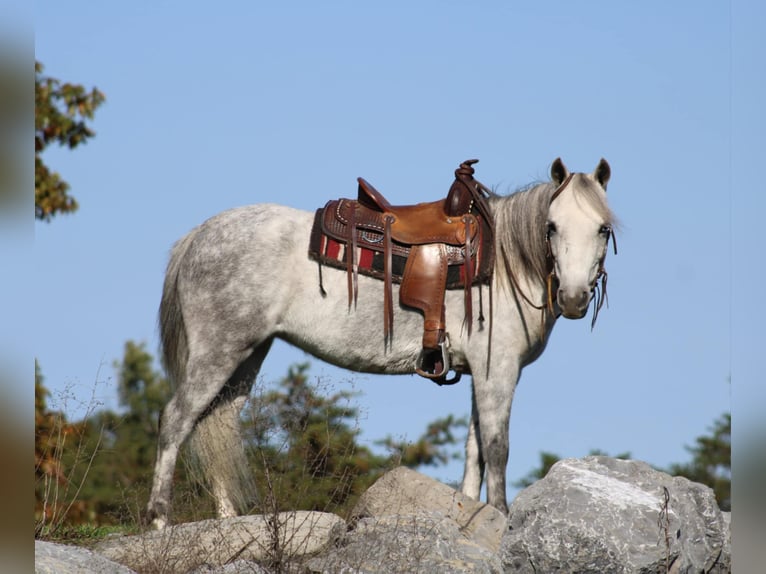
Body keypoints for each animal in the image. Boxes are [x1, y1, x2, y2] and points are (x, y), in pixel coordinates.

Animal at [148, 158, 616, 532]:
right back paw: (159, 520)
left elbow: (475, 451)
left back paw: (228, 521)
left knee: (218, 423)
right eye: (551, 227)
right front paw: (500, 515)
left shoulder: (479, 373)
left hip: (247, 356)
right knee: (176, 421)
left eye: (603, 229)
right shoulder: (496, 370)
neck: (503, 262)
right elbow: (497, 449)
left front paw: (470, 512)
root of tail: (197, 236)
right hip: (218, 351)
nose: (574, 298)